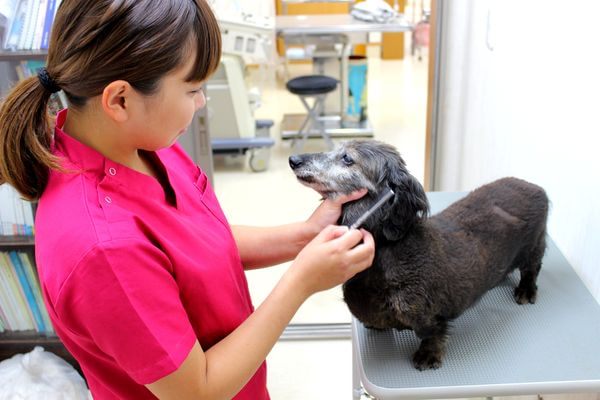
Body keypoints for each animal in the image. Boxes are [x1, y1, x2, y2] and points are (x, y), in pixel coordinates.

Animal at [290, 139, 548, 370]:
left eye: (347, 158)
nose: (293, 160)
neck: (386, 248)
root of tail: (536, 187)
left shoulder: (427, 314)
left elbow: (432, 333)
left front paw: (428, 355)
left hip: (534, 247)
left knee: (532, 269)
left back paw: (526, 290)